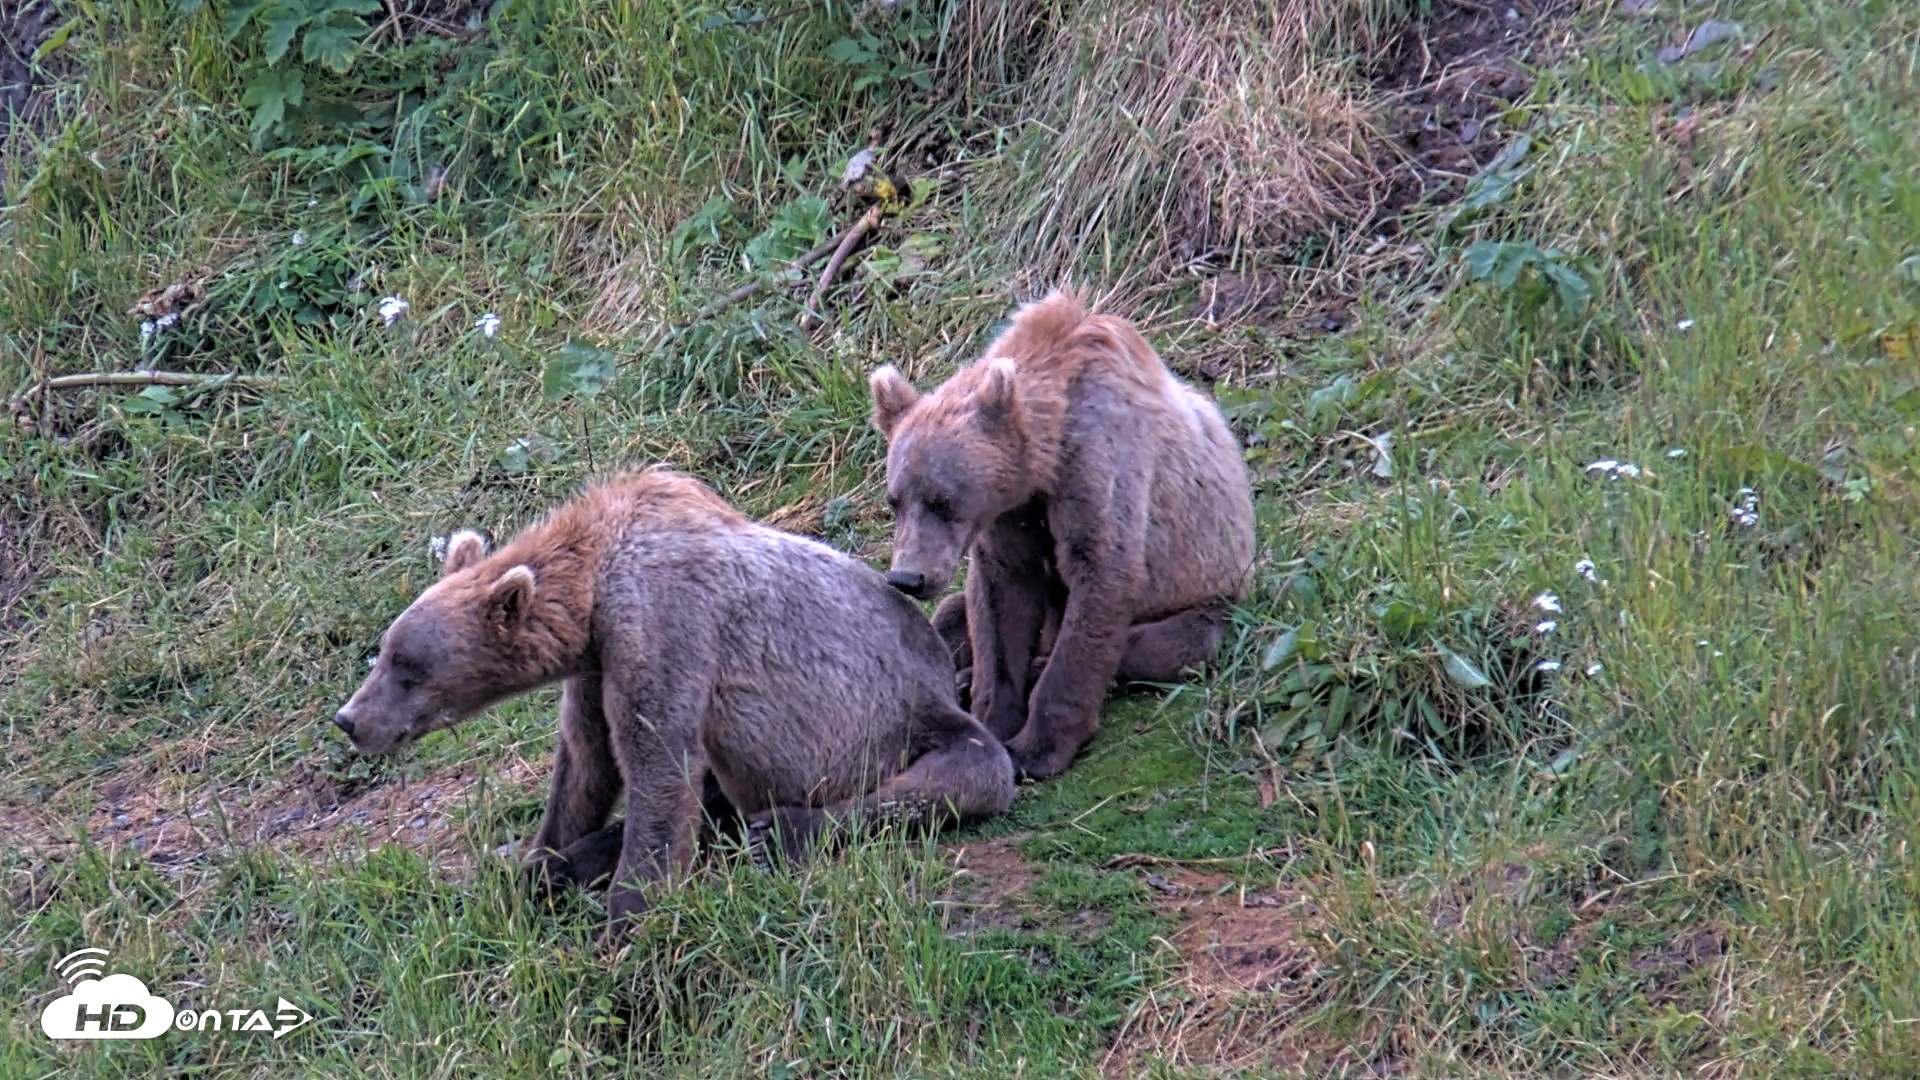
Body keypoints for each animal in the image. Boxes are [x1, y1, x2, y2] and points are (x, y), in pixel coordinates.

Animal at [331, 466, 1016, 933]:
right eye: (385, 653)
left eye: (409, 668)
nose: (349, 719)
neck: (593, 588)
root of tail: (939, 670)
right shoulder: (598, 663)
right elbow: (586, 761)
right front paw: (537, 862)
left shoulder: (663, 619)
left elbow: (656, 758)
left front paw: (627, 918)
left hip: (901, 724)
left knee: (962, 773)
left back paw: (781, 830)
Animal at [867, 289, 1256, 780]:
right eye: (895, 500)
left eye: (944, 501)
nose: (908, 577)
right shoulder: (1011, 511)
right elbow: (1000, 601)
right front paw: (993, 715)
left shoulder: (1098, 463)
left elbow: (1100, 576)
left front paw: (1036, 748)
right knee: (953, 615)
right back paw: (963, 674)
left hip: (1211, 597)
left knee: (1167, 643)